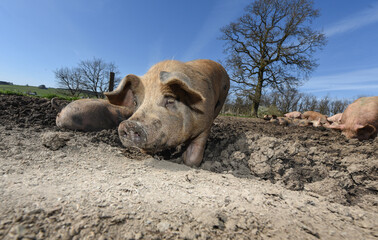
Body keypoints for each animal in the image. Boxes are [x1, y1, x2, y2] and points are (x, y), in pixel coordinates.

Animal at [56, 59, 230, 166]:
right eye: (135, 102)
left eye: (170, 100)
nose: (129, 124)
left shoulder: (206, 123)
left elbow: (194, 156)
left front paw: (184, 159)